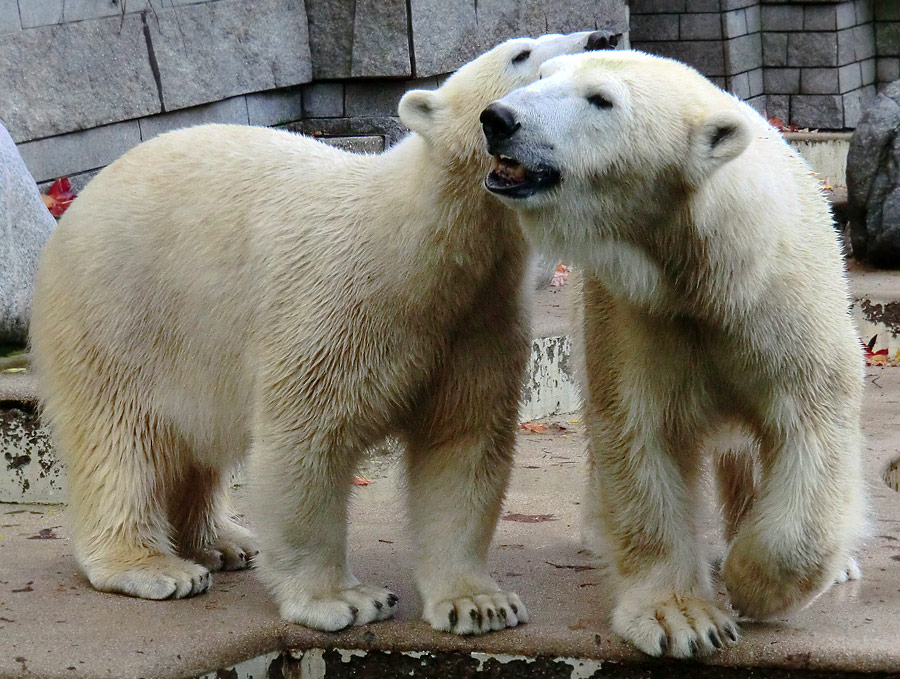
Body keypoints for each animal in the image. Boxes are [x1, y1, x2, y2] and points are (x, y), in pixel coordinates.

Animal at [31, 29, 616, 636]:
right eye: (521, 54)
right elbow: (307, 439)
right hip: (117, 312)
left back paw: (222, 542)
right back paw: (155, 566)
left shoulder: (478, 320)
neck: (416, 247)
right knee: (121, 435)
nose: (604, 36)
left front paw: (478, 603)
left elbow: (463, 443)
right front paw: (344, 599)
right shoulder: (337, 306)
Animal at [478, 51, 864, 660]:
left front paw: (750, 583)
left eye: (601, 99)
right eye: (541, 77)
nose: (499, 118)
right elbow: (639, 431)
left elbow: (812, 419)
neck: (704, 266)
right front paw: (682, 618)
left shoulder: (780, 304)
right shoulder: (638, 312)